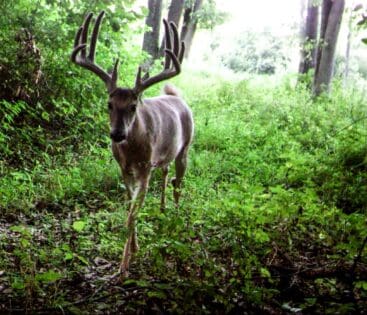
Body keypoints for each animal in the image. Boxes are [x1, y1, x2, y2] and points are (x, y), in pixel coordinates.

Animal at [70, 11, 194, 278]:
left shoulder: (144, 169)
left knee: (179, 184)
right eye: (109, 104)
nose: (117, 134)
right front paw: (135, 247)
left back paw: (176, 216)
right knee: (167, 175)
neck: (132, 150)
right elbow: (129, 206)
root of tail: (177, 97)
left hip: (186, 148)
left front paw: (124, 266)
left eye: (133, 106)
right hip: (164, 156)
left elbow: (131, 214)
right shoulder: (124, 170)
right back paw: (162, 209)